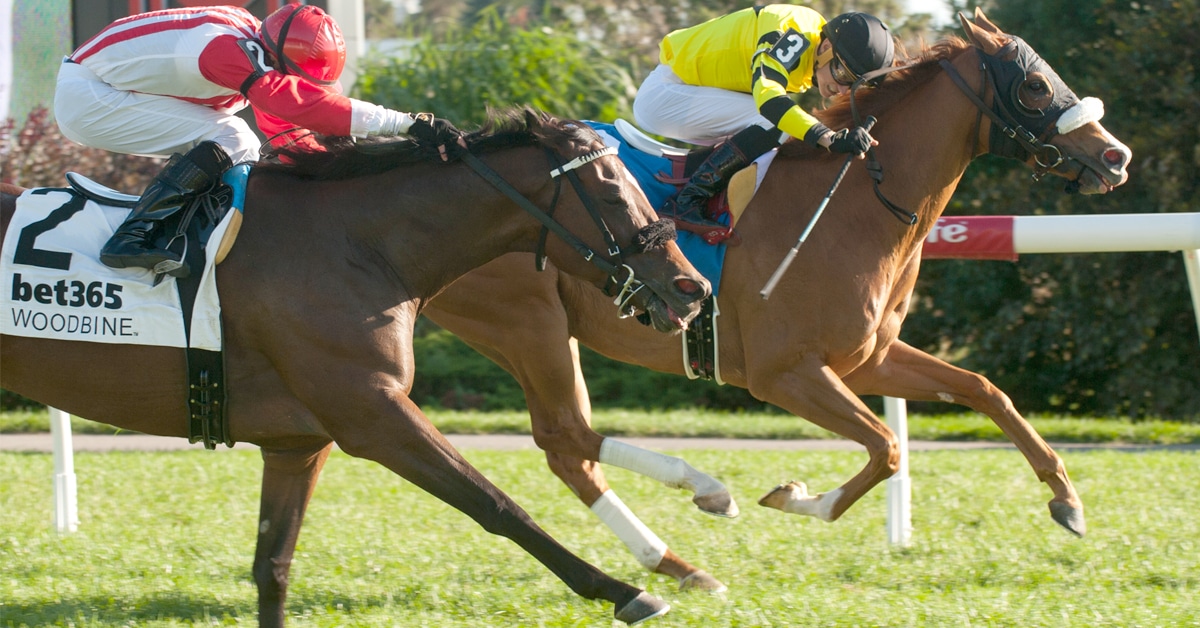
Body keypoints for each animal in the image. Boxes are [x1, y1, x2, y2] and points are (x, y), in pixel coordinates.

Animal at [0, 108, 713, 625]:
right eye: (613, 193)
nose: (692, 288)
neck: (362, 245)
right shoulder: (371, 414)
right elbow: (497, 505)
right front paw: (628, 591)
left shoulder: (298, 442)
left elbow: (272, 567)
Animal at [422, 9, 1133, 591]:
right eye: (1034, 86)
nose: (1116, 156)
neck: (858, 201)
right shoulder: (782, 372)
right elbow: (886, 445)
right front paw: (794, 497)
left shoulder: (867, 359)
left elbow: (986, 391)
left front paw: (1068, 501)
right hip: (527, 323)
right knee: (565, 437)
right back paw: (700, 509)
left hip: (544, 332)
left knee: (570, 450)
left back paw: (679, 560)